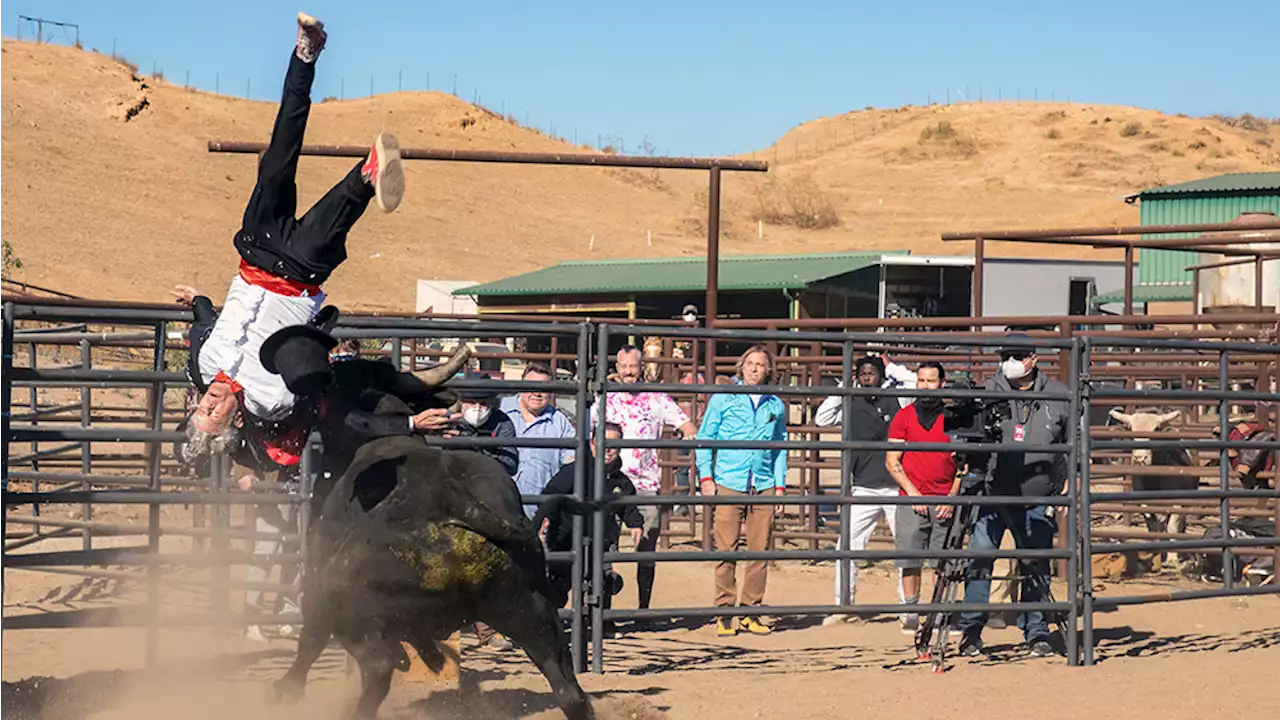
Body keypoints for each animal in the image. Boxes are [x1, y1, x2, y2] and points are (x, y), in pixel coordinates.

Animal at [275, 430, 593, 717]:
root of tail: (451, 503)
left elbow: (311, 640)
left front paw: (286, 691)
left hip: (351, 617)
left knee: (376, 668)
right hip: (530, 610)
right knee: (568, 690)